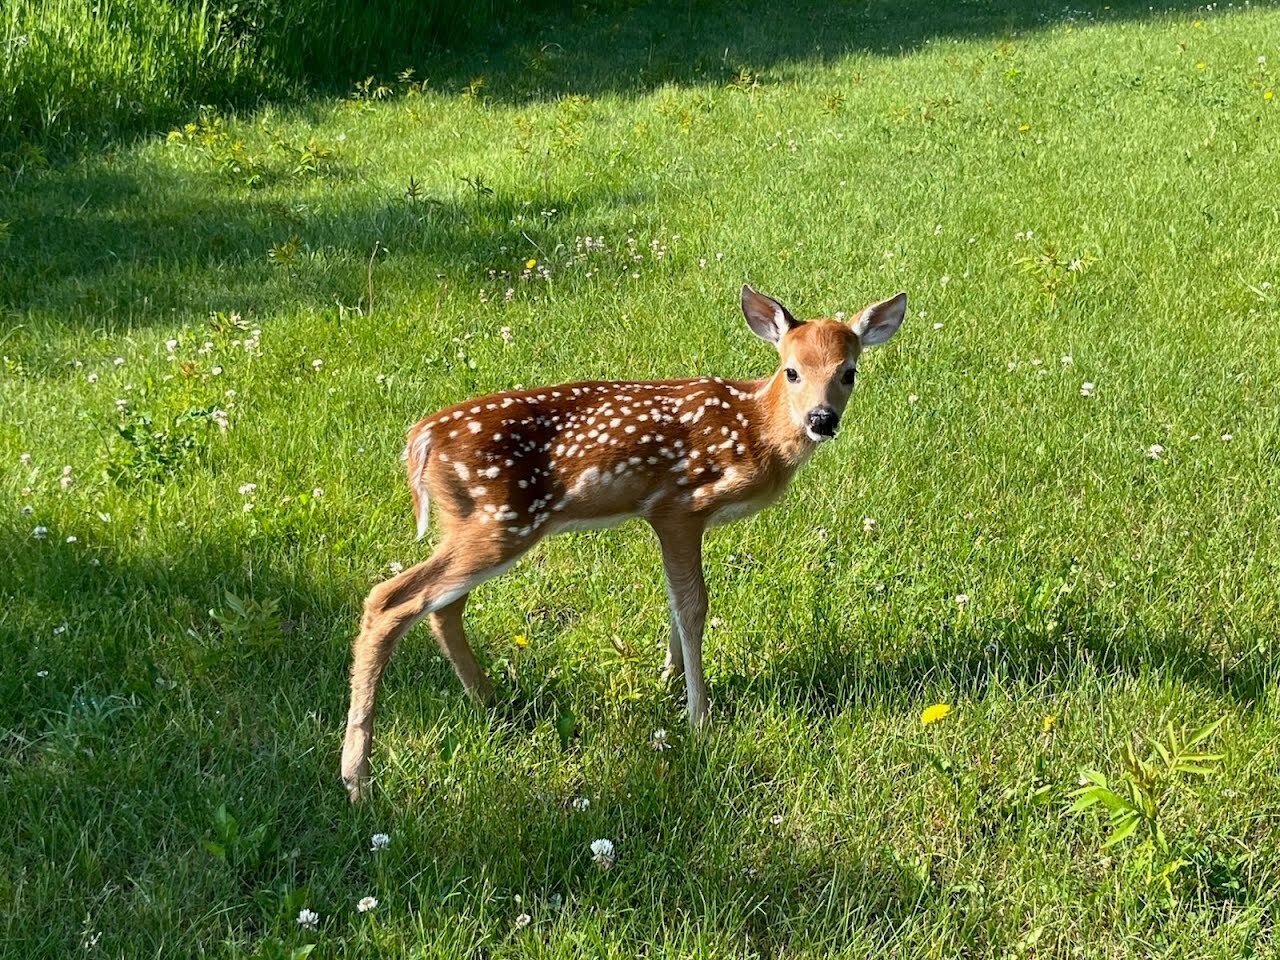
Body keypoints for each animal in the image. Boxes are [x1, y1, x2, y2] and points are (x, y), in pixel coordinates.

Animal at [340, 284, 906, 800]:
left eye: (848, 372)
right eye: (791, 370)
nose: (822, 419)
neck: (754, 428)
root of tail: (421, 439)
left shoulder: (671, 519)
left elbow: (675, 601)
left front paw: (667, 682)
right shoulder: (678, 505)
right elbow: (694, 605)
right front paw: (699, 719)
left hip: (470, 522)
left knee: (441, 606)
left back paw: (491, 703)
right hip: (501, 520)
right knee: (390, 600)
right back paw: (357, 777)